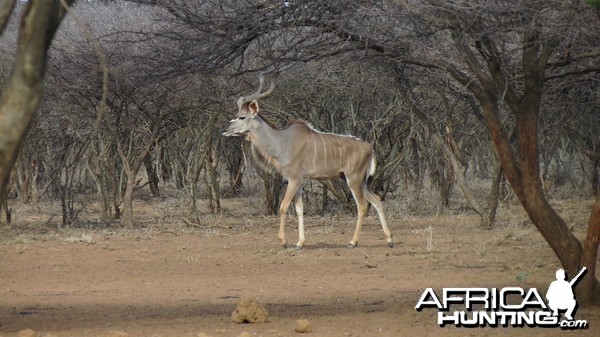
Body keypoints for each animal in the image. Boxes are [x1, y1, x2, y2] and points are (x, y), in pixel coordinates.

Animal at [224, 73, 394, 248]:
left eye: (241, 117)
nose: (226, 129)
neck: (281, 141)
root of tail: (370, 149)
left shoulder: (294, 179)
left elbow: (283, 206)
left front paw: (284, 241)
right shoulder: (298, 182)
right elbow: (299, 209)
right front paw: (299, 243)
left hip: (353, 179)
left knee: (362, 205)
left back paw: (353, 242)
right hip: (362, 182)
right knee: (376, 200)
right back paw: (389, 240)